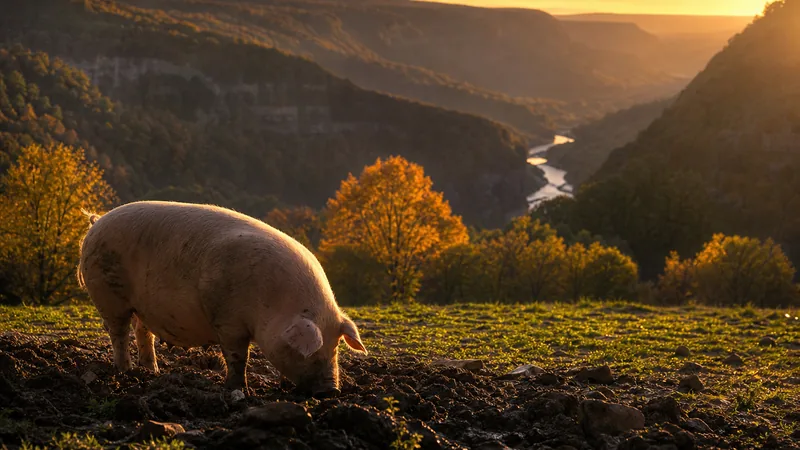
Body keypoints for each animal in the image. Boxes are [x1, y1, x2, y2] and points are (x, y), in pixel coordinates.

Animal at [77, 200, 367, 397]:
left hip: (141, 306)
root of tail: (97, 221)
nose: (331, 391)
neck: (275, 303)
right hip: (108, 294)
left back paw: (152, 372)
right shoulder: (228, 321)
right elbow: (238, 357)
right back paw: (125, 372)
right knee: (118, 333)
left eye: (336, 347)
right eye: (316, 350)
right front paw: (238, 390)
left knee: (143, 332)